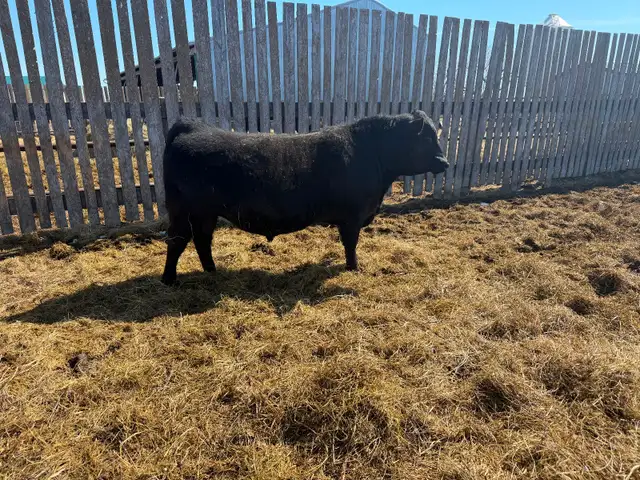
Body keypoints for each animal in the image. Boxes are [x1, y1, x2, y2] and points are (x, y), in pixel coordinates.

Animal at [160, 110, 449, 285]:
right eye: (426, 139)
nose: (444, 162)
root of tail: (192, 126)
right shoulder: (352, 217)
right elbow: (351, 244)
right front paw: (353, 268)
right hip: (183, 211)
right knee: (177, 241)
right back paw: (169, 280)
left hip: (205, 213)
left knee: (202, 239)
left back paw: (212, 270)